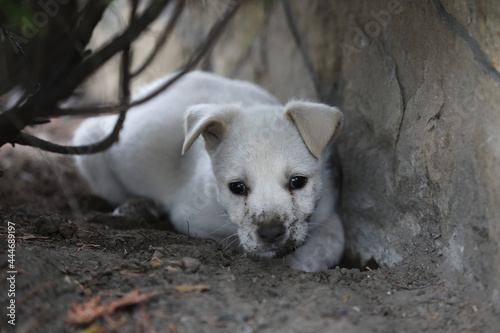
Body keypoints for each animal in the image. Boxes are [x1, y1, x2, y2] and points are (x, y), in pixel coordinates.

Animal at [73, 71, 344, 272]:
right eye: (237, 187)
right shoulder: (191, 220)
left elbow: (333, 240)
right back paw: (138, 206)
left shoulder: (327, 210)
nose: (270, 233)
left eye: (298, 181)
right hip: (89, 144)